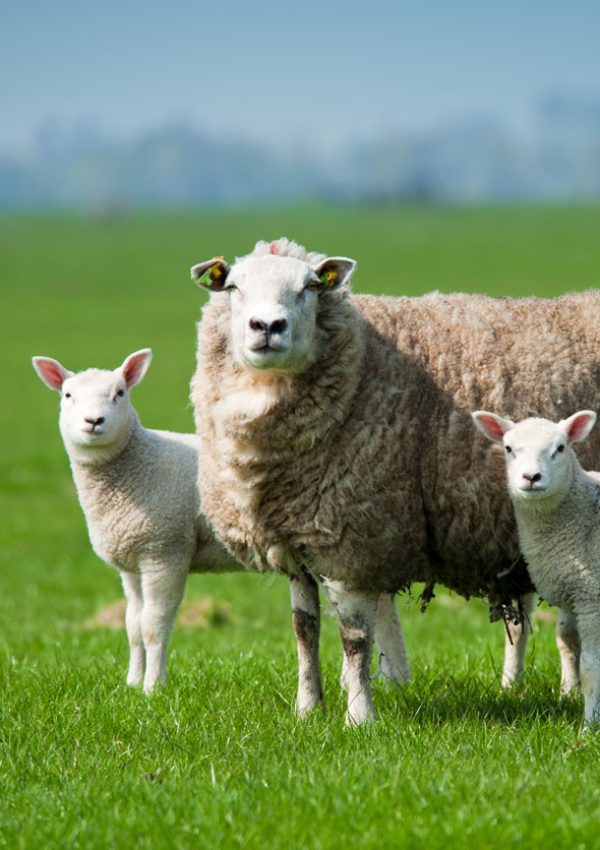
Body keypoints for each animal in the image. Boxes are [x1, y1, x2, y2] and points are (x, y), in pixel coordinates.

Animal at [32, 348, 411, 709]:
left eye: (120, 393)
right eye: (67, 395)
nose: (93, 421)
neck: (134, 464)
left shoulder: (164, 551)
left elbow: (154, 625)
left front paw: (153, 688)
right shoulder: (131, 562)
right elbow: (132, 625)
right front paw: (132, 683)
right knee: (383, 610)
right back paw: (394, 681)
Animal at [472, 409, 600, 727]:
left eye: (560, 448)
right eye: (508, 448)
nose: (531, 477)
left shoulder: (591, 597)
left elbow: (591, 668)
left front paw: (589, 726)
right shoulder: (574, 588)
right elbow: (567, 641)